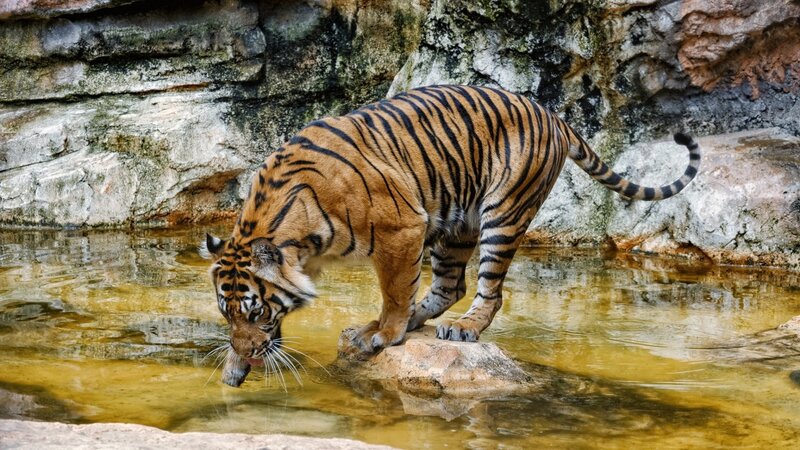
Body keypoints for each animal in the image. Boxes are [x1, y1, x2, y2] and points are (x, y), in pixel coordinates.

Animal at [204, 84, 700, 386]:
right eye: (227, 314)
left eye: (255, 310)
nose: (245, 352)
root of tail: (552, 113)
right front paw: (234, 366)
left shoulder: (402, 228)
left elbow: (395, 290)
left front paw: (384, 334)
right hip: (458, 223)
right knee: (450, 285)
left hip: (504, 212)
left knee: (488, 291)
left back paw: (462, 329)